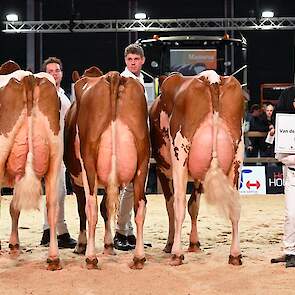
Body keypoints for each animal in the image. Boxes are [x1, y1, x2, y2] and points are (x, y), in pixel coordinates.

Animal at [0, 61, 63, 272]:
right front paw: (14, 244)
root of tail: (27, 76)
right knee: (52, 204)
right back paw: (53, 258)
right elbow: (14, 207)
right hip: (55, 156)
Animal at [64, 69, 150, 270]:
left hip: (88, 162)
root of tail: (113, 76)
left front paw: (82, 245)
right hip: (143, 160)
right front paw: (109, 245)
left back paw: (90, 257)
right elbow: (106, 208)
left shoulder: (75, 179)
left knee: (90, 206)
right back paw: (138, 257)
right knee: (140, 205)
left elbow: (84, 209)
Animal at [150, 70, 245, 268]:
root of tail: (212, 78)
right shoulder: (200, 177)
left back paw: (176, 254)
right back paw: (235, 255)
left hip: (180, 153)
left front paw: (170, 244)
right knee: (235, 207)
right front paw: (194, 243)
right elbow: (194, 205)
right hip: (237, 157)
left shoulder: (162, 169)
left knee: (178, 205)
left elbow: (172, 206)